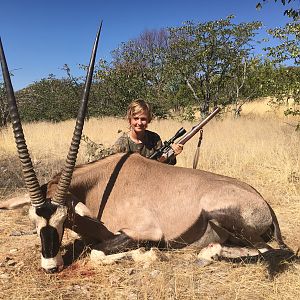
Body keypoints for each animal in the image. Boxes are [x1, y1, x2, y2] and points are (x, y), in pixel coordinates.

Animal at [0, 25, 292, 274]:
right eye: (33, 221)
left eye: (64, 218)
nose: (50, 266)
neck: (99, 186)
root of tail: (263, 202)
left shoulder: (144, 231)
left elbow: (97, 252)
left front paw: (149, 255)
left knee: (269, 251)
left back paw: (207, 253)